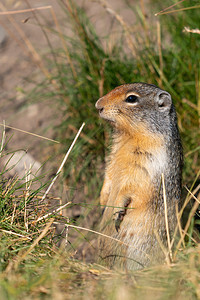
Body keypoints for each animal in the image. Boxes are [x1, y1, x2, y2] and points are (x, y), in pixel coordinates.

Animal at [95, 83, 183, 270]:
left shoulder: (147, 163)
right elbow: (109, 176)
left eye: (131, 98)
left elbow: (130, 188)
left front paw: (116, 211)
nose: (98, 105)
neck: (128, 137)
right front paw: (103, 200)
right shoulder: (113, 157)